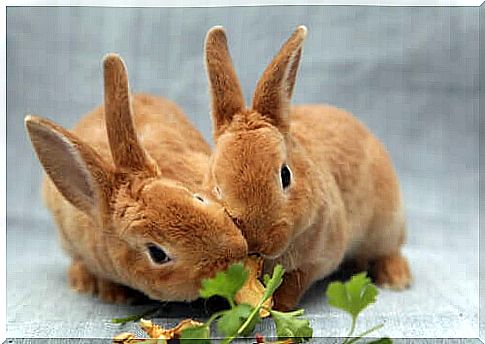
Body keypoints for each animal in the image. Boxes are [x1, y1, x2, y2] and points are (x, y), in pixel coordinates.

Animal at [202, 26, 410, 312]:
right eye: (217, 187)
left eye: (285, 175)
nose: (256, 241)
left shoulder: (318, 259)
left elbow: (294, 282)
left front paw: (279, 305)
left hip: (385, 225)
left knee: (389, 250)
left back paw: (396, 279)